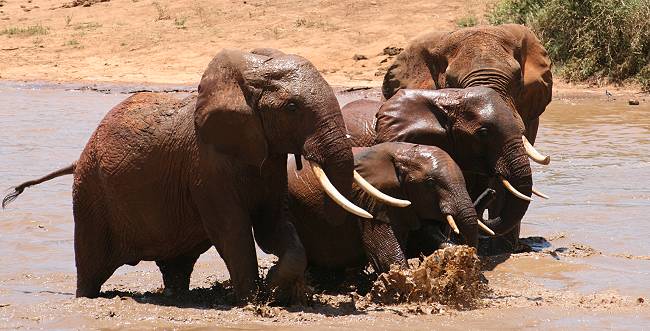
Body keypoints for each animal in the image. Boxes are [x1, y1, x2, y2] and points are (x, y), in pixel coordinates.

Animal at [2, 48, 384, 304]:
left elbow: (273, 225)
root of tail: (79, 157)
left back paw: (175, 295)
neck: (240, 82)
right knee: (91, 267)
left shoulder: (267, 160)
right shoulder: (206, 166)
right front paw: (253, 301)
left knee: (176, 266)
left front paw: (274, 286)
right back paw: (86, 299)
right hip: (90, 193)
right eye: (292, 107)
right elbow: (232, 230)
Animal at [284, 141, 492, 274]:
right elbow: (386, 255)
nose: (491, 191)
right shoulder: (370, 198)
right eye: (430, 183)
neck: (402, 151)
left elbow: (426, 238)